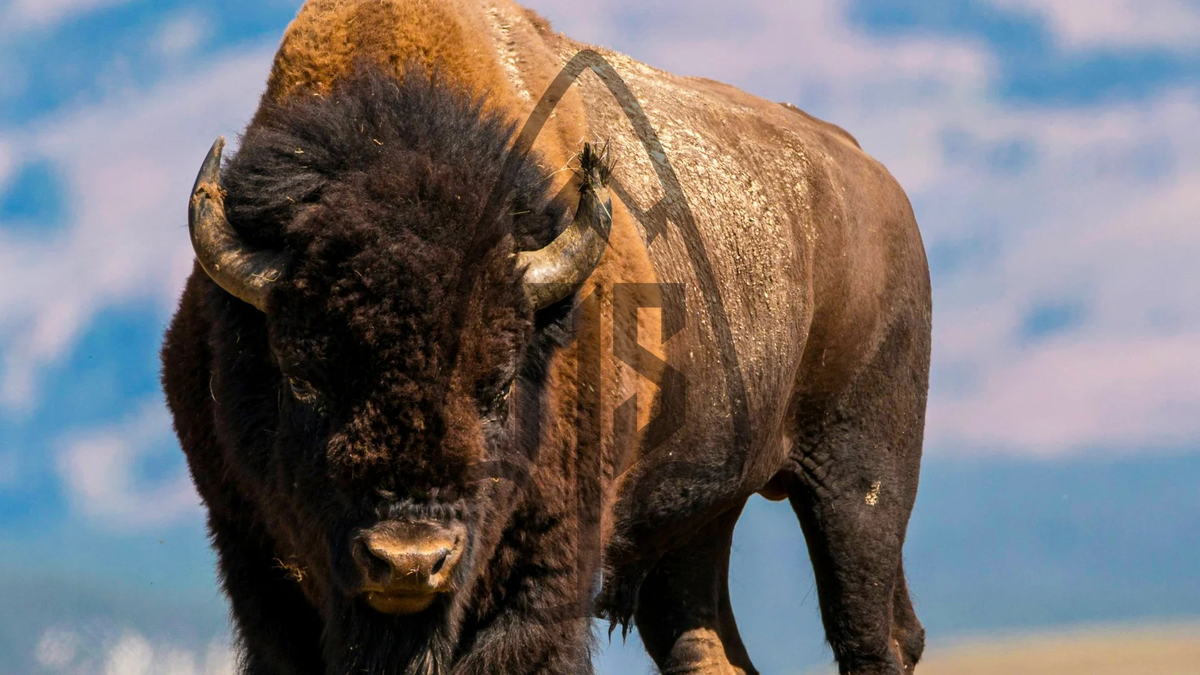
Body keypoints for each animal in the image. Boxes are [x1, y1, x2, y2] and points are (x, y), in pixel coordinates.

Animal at [162, 1, 931, 674]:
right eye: (302, 378)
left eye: (498, 383)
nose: (410, 559)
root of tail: (876, 180)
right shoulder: (251, 550)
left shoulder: (551, 557)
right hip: (696, 529)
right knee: (710, 646)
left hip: (858, 487)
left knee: (874, 633)